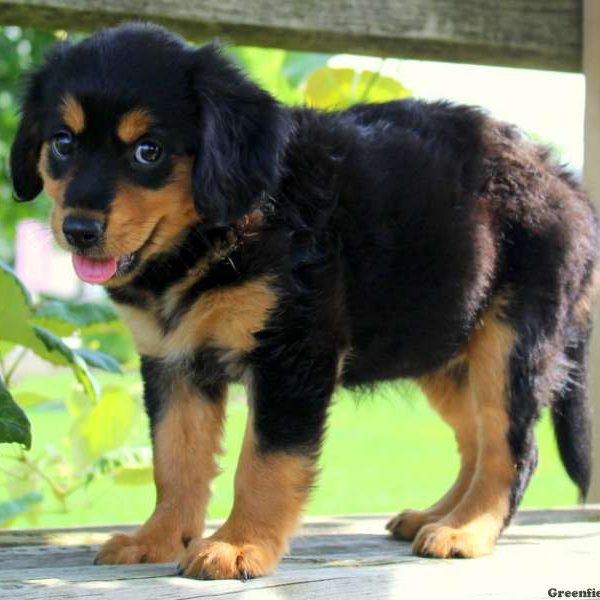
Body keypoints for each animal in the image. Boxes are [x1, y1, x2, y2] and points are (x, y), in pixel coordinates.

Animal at [9, 24, 600, 580]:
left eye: (147, 151)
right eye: (62, 142)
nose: (79, 230)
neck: (221, 229)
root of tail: (561, 176)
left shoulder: (291, 354)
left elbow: (265, 462)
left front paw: (239, 545)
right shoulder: (173, 363)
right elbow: (175, 460)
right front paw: (157, 538)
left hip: (511, 343)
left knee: (511, 448)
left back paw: (466, 529)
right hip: (445, 345)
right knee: (476, 437)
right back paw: (437, 515)